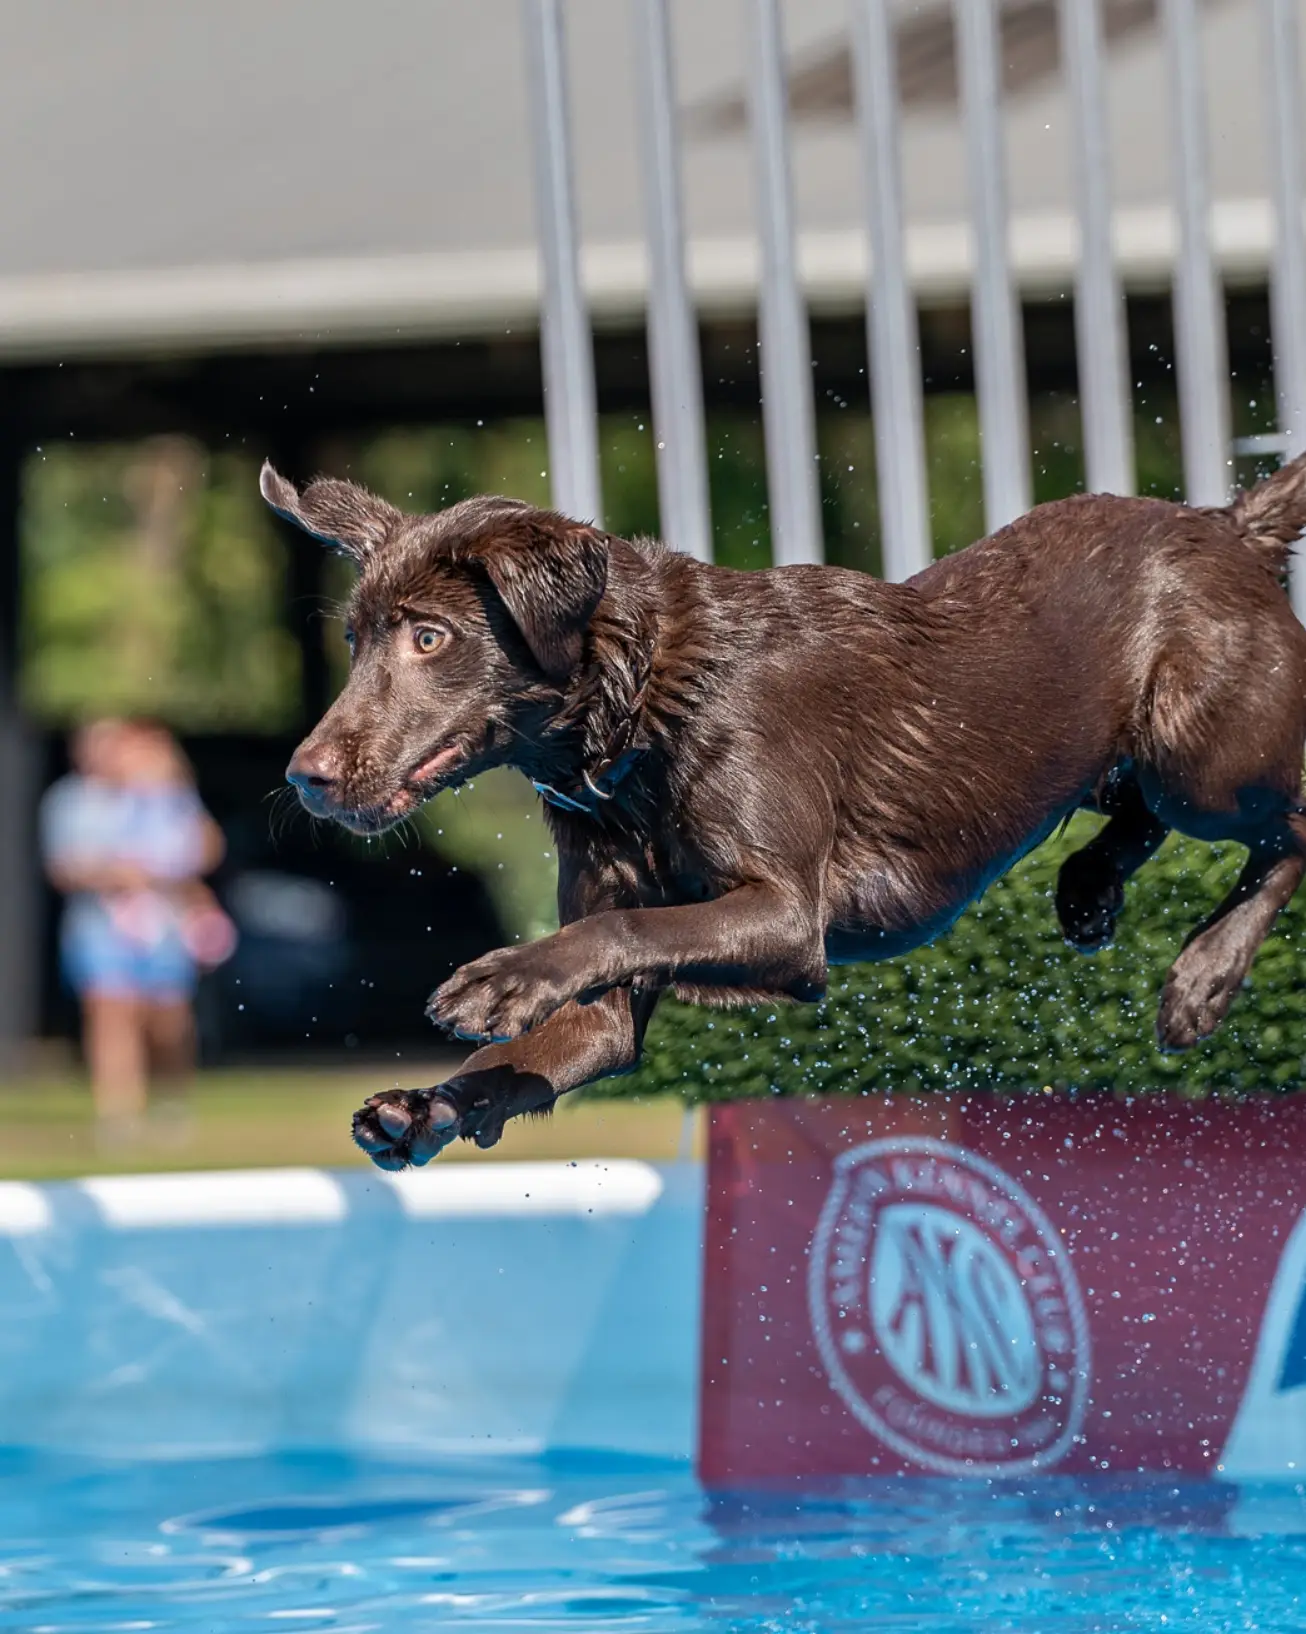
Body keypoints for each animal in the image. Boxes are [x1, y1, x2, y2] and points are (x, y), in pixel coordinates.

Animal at [263, 460, 1306, 1169]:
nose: (304, 776)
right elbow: (565, 1018)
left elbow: (631, 925)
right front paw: (420, 1107)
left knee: (1287, 823)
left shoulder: (788, 918)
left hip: (1201, 754)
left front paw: (502, 980)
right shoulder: (607, 1011)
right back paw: (1089, 888)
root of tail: (1226, 523)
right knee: (1139, 811)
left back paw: (1202, 976)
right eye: (354, 640)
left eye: (430, 638)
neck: (645, 707)